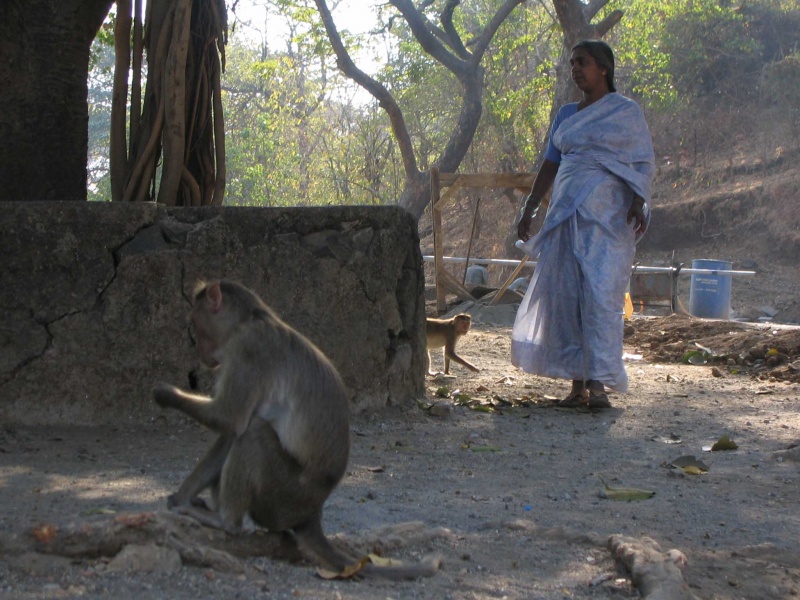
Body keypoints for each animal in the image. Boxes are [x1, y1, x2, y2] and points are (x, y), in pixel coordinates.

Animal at [153, 279, 440, 579]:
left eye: (195, 322)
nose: (198, 351)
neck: (249, 320)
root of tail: (311, 514)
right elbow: (230, 431)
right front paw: (182, 496)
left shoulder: (249, 349)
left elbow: (230, 419)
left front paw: (164, 394)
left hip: (283, 496)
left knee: (254, 432)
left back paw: (225, 522)